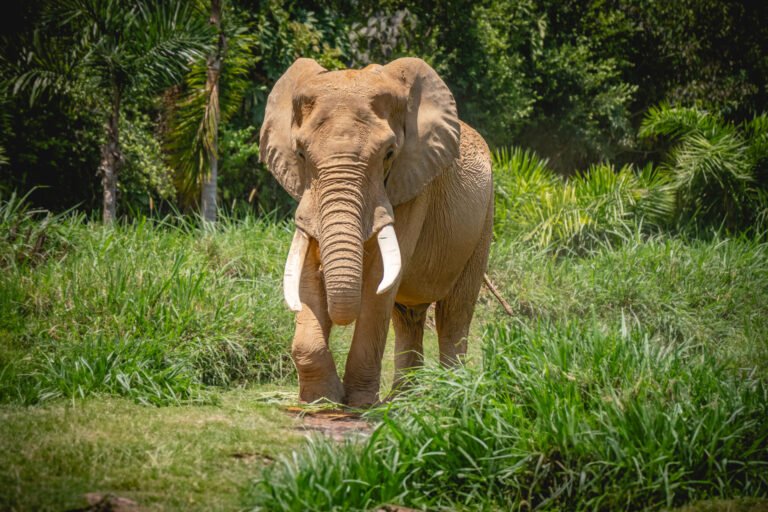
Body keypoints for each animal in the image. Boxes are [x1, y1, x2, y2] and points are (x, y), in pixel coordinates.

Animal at [260, 57, 493, 407]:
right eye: (300, 154)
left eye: (389, 154)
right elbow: (308, 278)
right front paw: (321, 401)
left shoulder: (412, 187)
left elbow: (378, 283)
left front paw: (358, 404)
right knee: (407, 316)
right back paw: (404, 399)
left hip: (483, 222)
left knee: (454, 312)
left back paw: (449, 394)